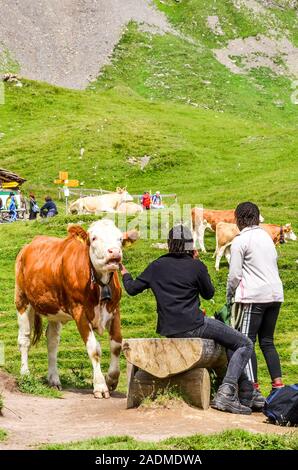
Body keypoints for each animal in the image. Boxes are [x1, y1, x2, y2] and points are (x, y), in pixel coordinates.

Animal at [14, 218, 138, 398]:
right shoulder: (80, 312)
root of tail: (29, 245)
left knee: (52, 341)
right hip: (22, 300)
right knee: (24, 339)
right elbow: (94, 349)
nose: (114, 252)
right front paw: (100, 386)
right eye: (94, 238)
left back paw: (54, 379)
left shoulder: (115, 309)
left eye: (120, 239)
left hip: (54, 309)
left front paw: (111, 380)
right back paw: (25, 374)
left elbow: (116, 345)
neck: (100, 282)